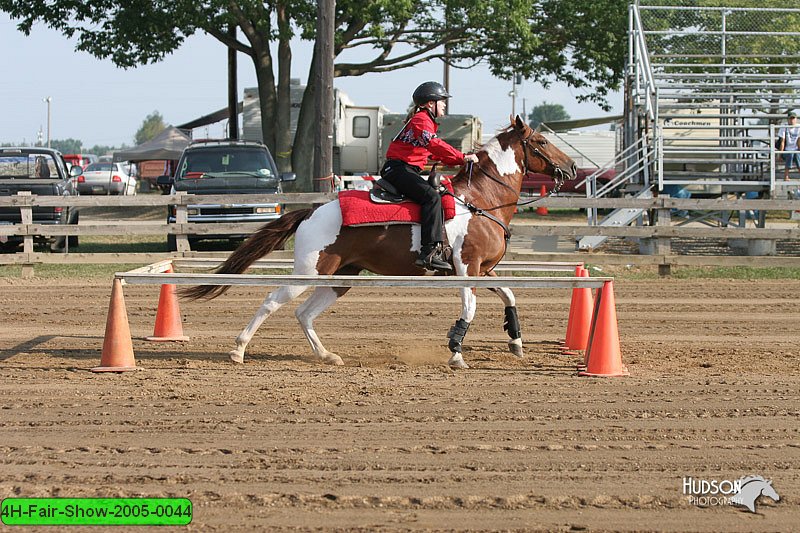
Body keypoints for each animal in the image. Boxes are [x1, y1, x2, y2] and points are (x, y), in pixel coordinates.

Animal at [181, 115, 576, 368]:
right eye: (541, 141)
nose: (571, 168)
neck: (480, 201)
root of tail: (311, 212)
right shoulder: (467, 269)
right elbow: (470, 308)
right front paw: (456, 352)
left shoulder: (484, 270)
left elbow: (510, 295)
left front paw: (516, 340)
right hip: (308, 272)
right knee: (271, 302)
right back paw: (238, 350)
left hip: (340, 278)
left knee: (303, 313)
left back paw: (327, 356)